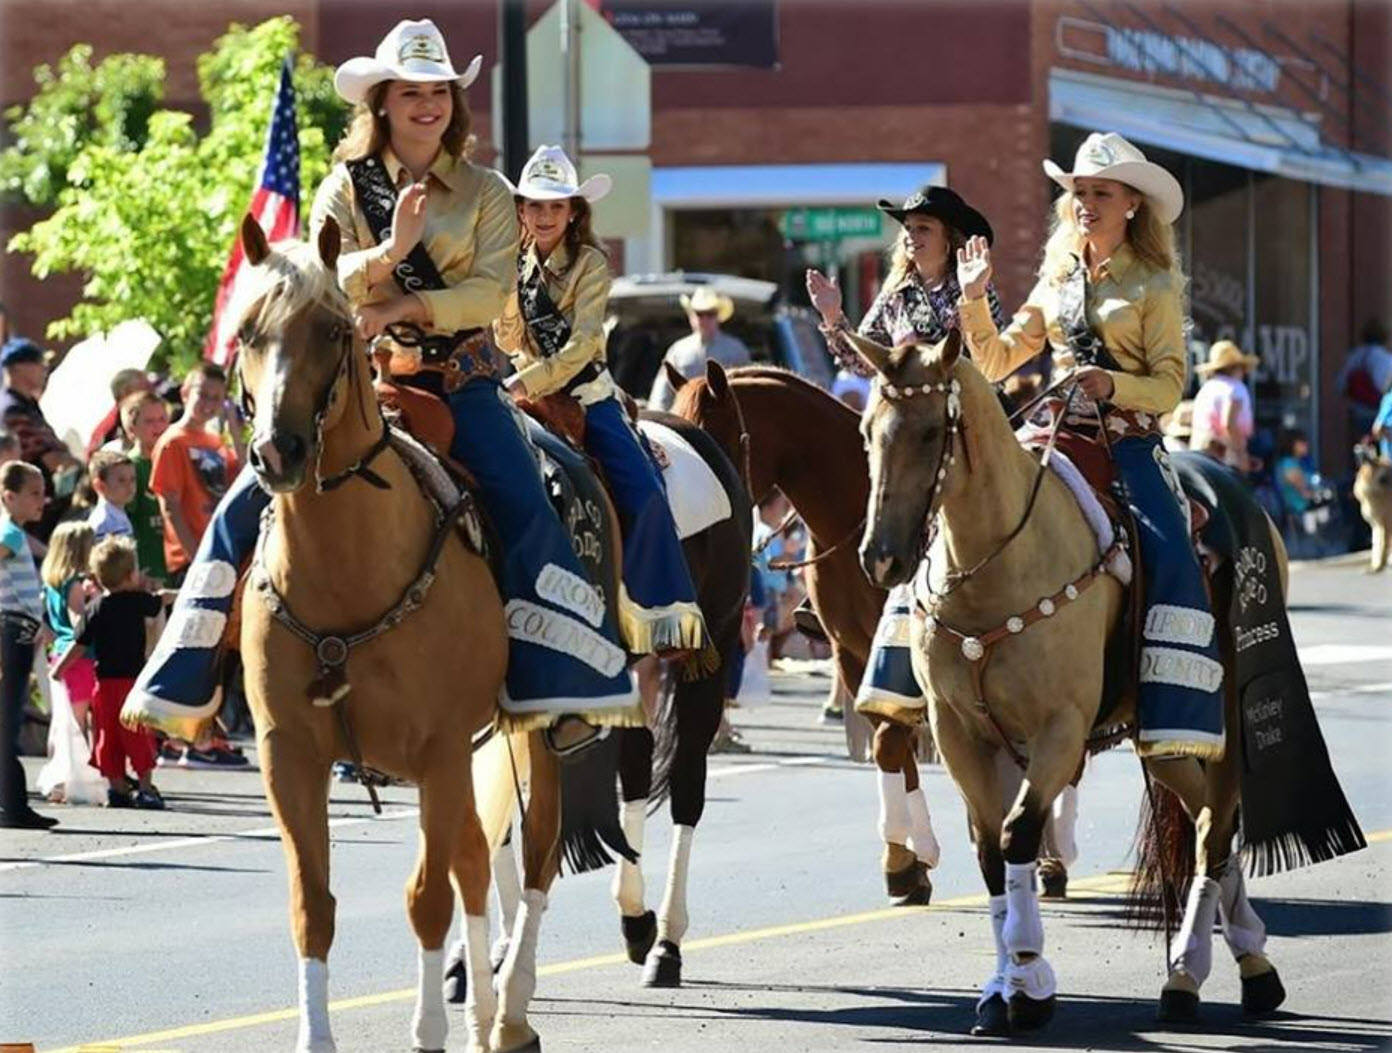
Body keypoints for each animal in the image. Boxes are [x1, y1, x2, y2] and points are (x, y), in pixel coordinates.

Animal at [846, 328, 1358, 1036]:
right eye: (867, 431)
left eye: (929, 432)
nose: (881, 558)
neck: (1001, 558)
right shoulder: (958, 731)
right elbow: (988, 849)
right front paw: (999, 989)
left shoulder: (1059, 729)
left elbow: (1018, 833)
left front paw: (1029, 984)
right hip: (1163, 740)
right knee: (1204, 816)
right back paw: (1238, 959)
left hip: (1219, 717)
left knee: (1216, 824)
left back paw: (1197, 973)